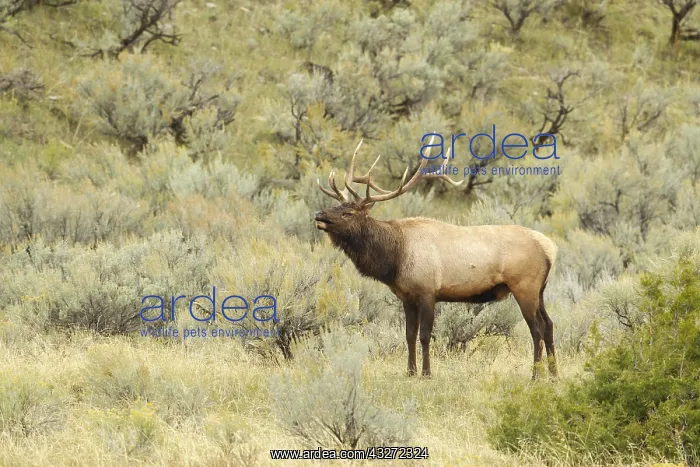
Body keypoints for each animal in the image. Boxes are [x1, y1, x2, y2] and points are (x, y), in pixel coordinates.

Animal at [314, 136, 559, 379]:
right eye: (337, 205)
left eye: (348, 213)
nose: (319, 214)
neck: (396, 258)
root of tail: (550, 248)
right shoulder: (406, 296)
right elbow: (409, 335)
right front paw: (410, 371)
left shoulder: (427, 291)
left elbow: (424, 335)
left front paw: (426, 373)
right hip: (540, 290)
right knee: (549, 324)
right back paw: (554, 373)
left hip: (524, 286)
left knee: (536, 330)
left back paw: (536, 376)